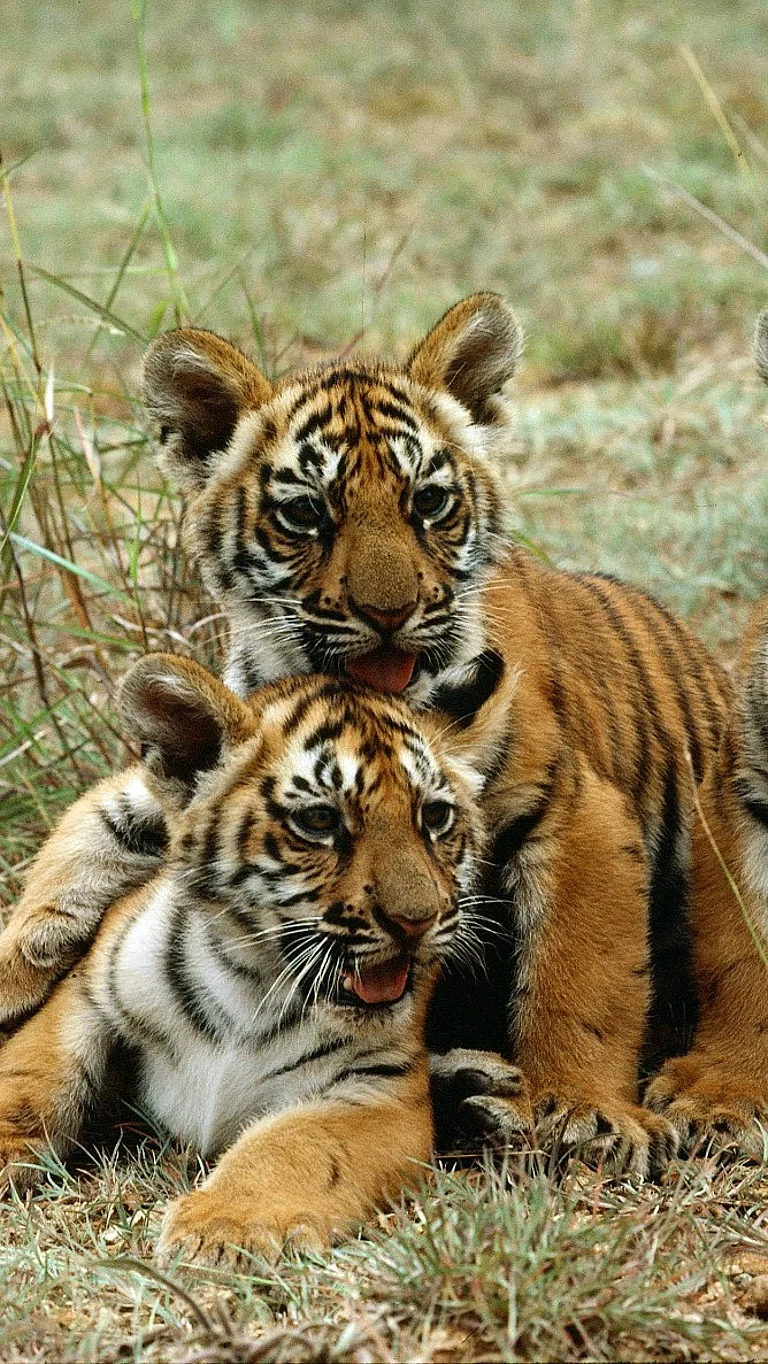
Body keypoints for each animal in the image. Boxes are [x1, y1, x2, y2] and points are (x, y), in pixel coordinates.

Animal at [0, 653, 485, 1264]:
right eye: (320, 822)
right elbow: (32, 1078)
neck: (251, 984)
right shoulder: (87, 990)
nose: (417, 920)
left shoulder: (382, 1087)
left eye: (436, 816)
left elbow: (296, 1143)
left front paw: (221, 1227)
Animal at [2, 293, 766, 1177]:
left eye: (428, 503)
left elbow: (582, 974)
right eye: (306, 512)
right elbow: (99, 822)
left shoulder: (574, 809)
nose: (390, 611)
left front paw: (581, 1107)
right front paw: (23, 959)